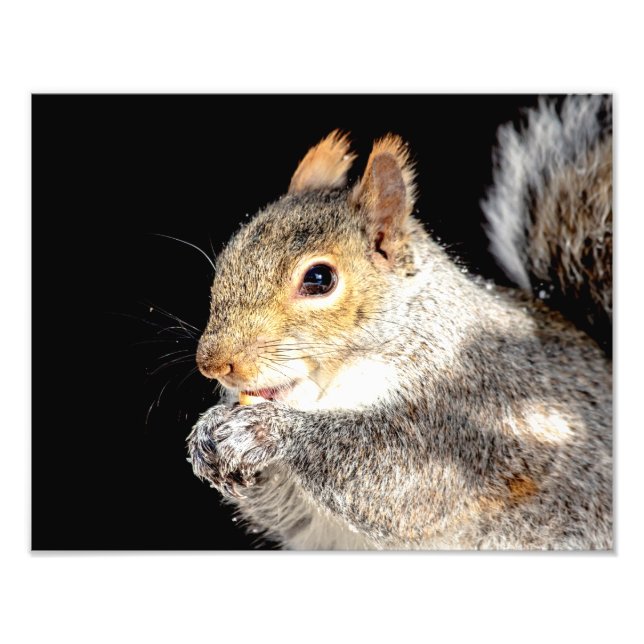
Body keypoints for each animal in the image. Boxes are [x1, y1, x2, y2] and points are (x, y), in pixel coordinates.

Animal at [187, 95, 612, 550]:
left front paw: (264, 431)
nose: (213, 364)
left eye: (319, 279)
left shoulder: (466, 418)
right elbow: (287, 511)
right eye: (228, 259)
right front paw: (208, 432)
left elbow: (400, 480)